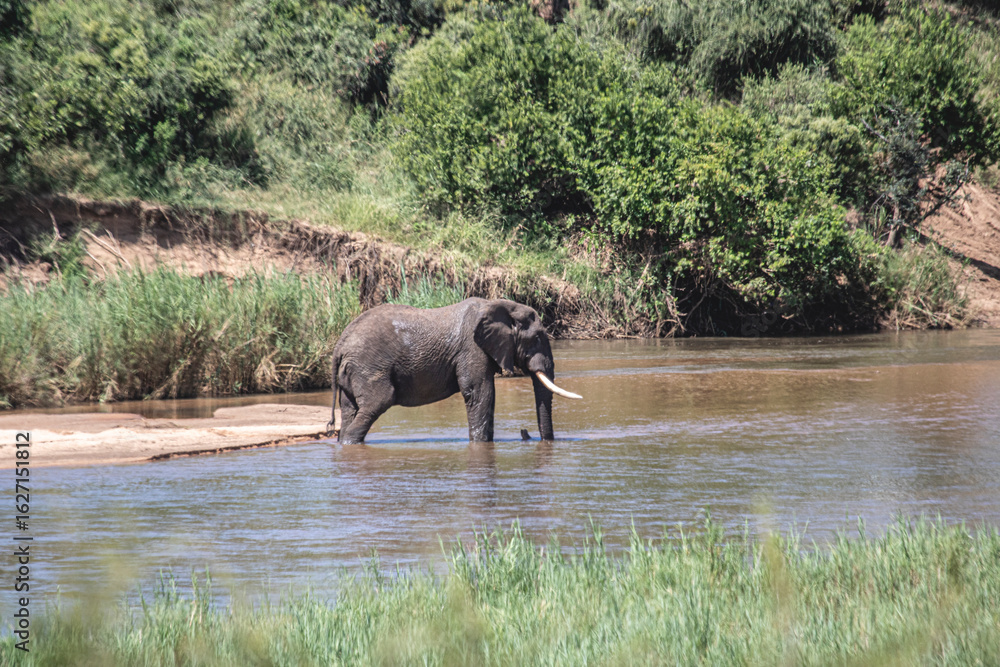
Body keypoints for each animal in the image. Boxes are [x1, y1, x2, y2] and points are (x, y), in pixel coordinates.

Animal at [327, 297, 581, 444]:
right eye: (537, 338)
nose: (526, 433)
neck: (500, 305)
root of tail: (339, 346)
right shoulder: (471, 348)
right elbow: (480, 393)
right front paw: (480, 444)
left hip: (353, 371)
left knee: (350, 409)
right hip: (368, 366)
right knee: (379, 401)